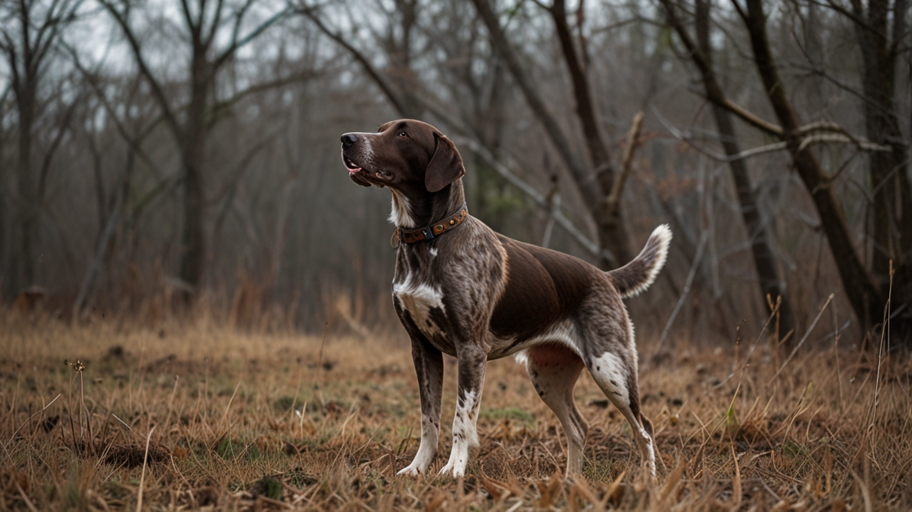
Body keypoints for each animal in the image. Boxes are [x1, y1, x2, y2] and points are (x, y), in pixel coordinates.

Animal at [342, 118, 668, 478]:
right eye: (381, 129)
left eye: (402, 134)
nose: (346, 139)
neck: (429, 238)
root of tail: (605, 277)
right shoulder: (422, 348)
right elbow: (429, 420)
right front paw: (417, 469)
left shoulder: (471, 350)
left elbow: (461, 419)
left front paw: (453, 471)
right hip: (547, 376)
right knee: (578, 428)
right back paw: (571, 481)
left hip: (611, 369)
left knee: (644, 428)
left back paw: (648, 481)